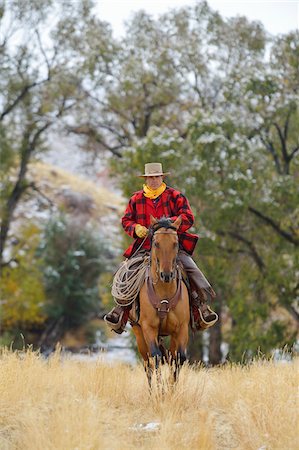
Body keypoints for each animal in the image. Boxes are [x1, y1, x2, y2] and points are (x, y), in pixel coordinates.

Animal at [131, 214, 190, 386]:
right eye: (156, 243)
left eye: (175, 243)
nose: (166, 275)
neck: (164, 293)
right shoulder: (148, 328)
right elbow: (156, 357)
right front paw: (161, 389)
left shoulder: (182, 328)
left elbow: (178, 358)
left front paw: (171, 388)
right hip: (139, 333)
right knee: (147, 363)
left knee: (170, 356)